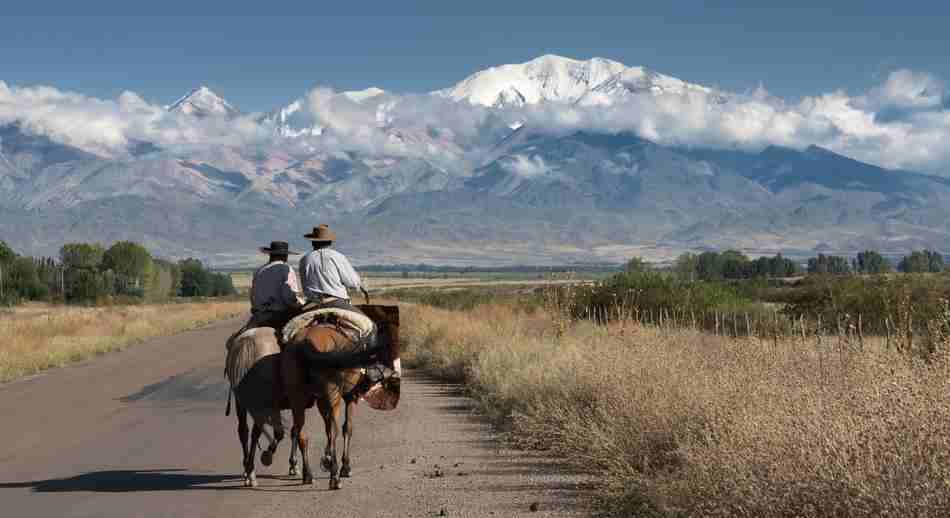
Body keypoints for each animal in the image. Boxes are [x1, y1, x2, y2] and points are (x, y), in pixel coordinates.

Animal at [282, 306, 402, 494]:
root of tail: (304, 342)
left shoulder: (321, 400)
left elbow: (326, 428)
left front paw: (326, 460)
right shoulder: (349, 397)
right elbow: (347, 428)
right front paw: (344, 467)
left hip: (298, 398)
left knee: (300, 432)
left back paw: (308, 474)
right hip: (333, 396)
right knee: (334, 431)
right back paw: (334, 477)